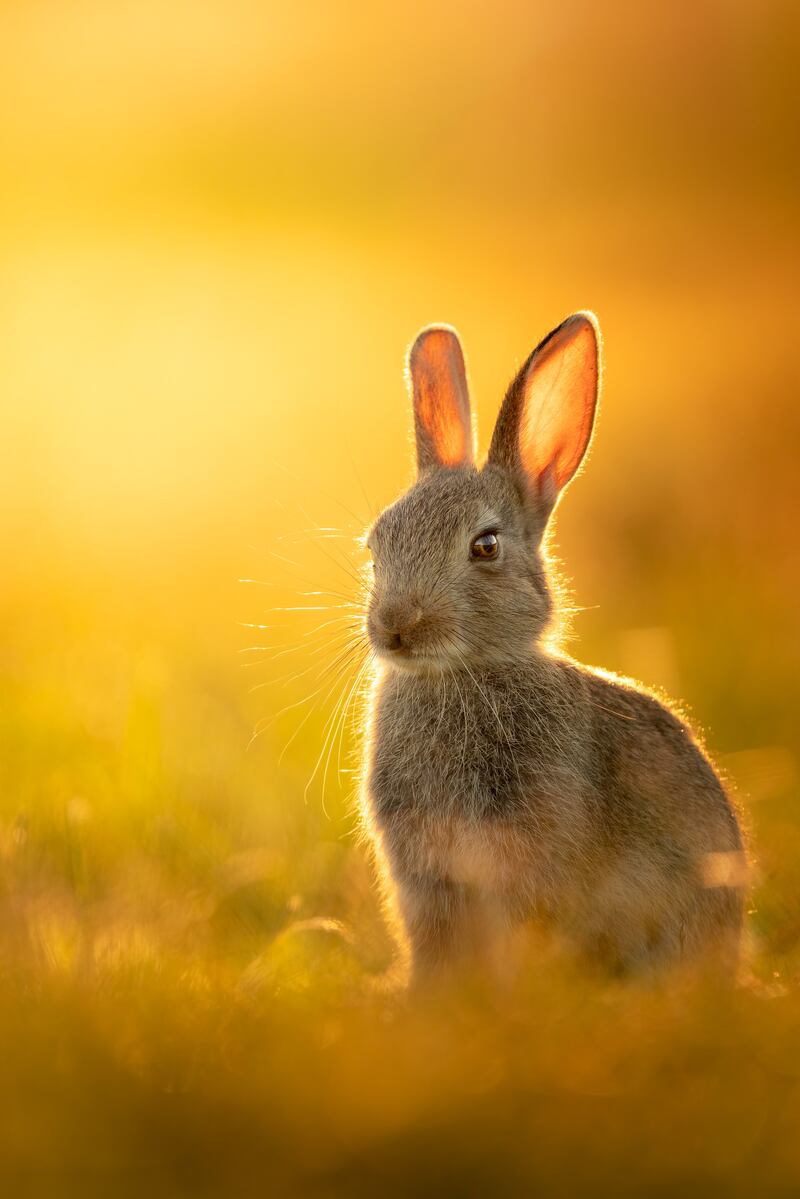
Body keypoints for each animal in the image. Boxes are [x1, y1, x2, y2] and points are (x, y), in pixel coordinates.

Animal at [359, 311, 748, 983]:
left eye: (486, 546)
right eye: (376, 545)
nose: (394, 627)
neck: (461, 674)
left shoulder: (527, 864)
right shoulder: (429, 883)